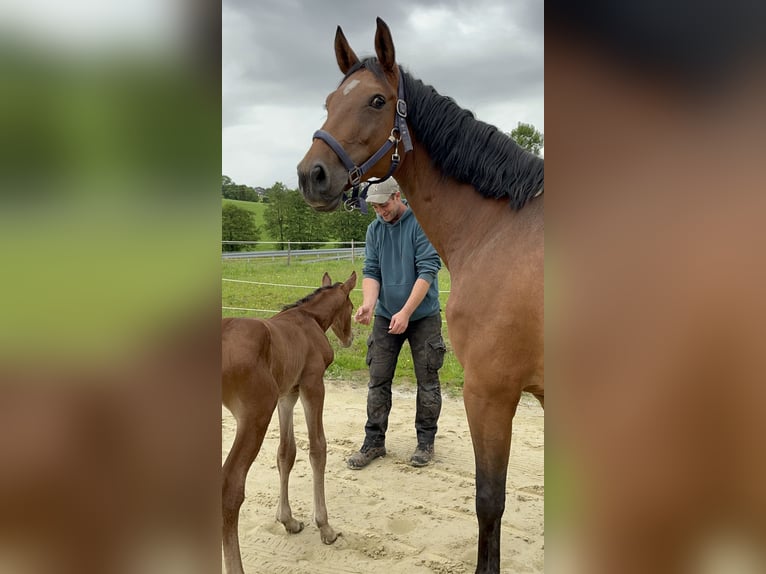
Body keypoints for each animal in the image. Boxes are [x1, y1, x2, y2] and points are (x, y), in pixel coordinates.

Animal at [221, 271, 357, 574]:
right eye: (352, 306)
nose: (350, 338)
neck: (308, 318)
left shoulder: (287, 394)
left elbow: (286, 453)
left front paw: (289, 521)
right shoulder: (312, 385)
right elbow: (318, 448)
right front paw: (325, 527)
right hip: (255, 416)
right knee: (230, 488)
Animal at [296, 18, 543, 574]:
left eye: (376, 100)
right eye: (328, 101)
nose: (310, 175)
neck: (500, 230)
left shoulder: (489, 393)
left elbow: (489, 500)